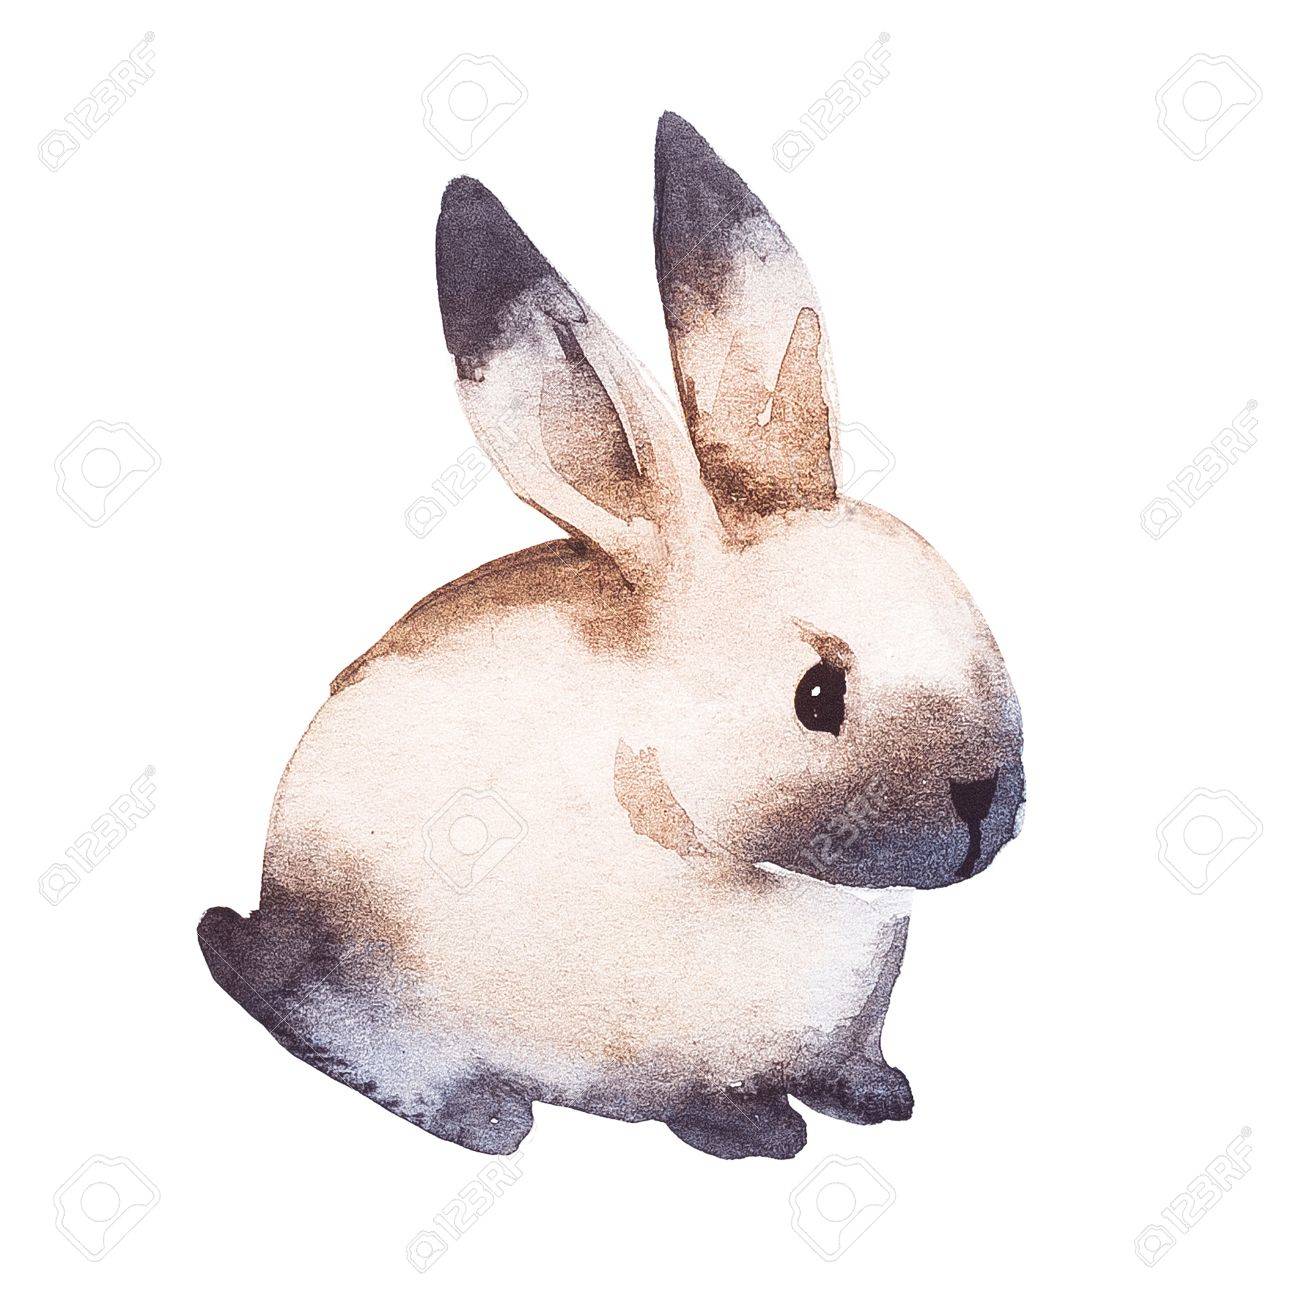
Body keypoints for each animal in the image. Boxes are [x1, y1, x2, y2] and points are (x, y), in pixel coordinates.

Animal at [198, 111, 1024, 1161]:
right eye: (816, 695)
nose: (982, 801)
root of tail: (268, 903)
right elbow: (701, 1100)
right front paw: (760, 1134)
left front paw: (881, 1097)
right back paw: (483, 1114)